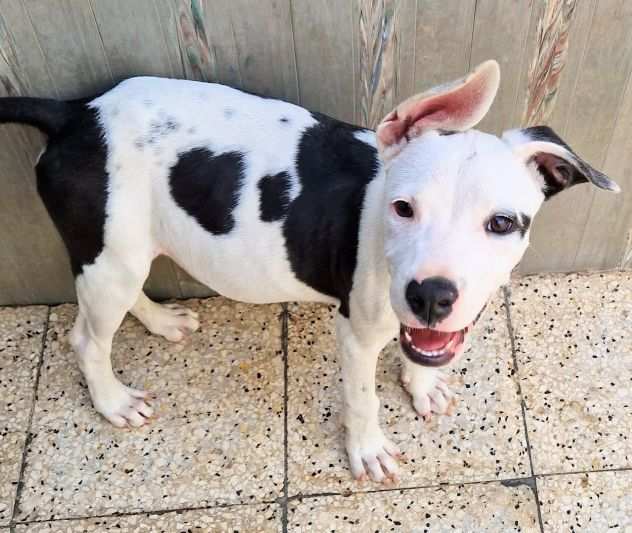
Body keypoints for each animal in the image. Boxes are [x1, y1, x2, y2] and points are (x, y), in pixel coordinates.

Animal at [0, 59, 620, 482]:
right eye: (403, 208)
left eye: (502, 223)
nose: (431, 295)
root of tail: (76, 113)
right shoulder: (357, 331)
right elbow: (363, 398)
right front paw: (367, 450)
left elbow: (420, 350)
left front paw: (421, 386)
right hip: (109, 255)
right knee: (87, 339)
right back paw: (112, 400)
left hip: (122, 250)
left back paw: (161, 322)